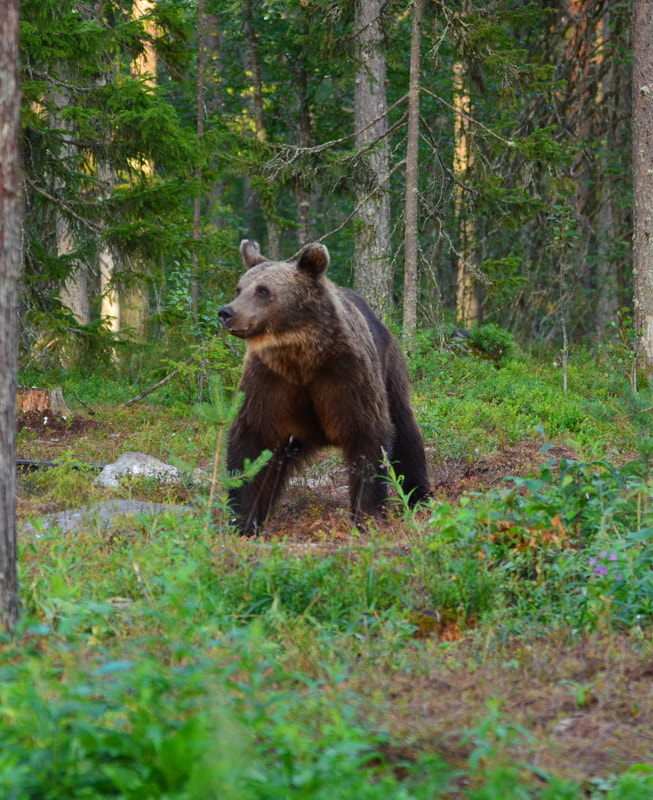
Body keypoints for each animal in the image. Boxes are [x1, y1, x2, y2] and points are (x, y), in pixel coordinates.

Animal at [219, 241, 430, 536]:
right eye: (239, 289)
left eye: (263, 290)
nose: (227, 312)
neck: (300, 356)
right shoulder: (270, 381)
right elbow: (252, 440)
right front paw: (240, 519)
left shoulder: (344, 374)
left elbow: (368, 435)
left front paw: (368, 516)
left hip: (389, 366)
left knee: (405, 430)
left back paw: (418, 496)